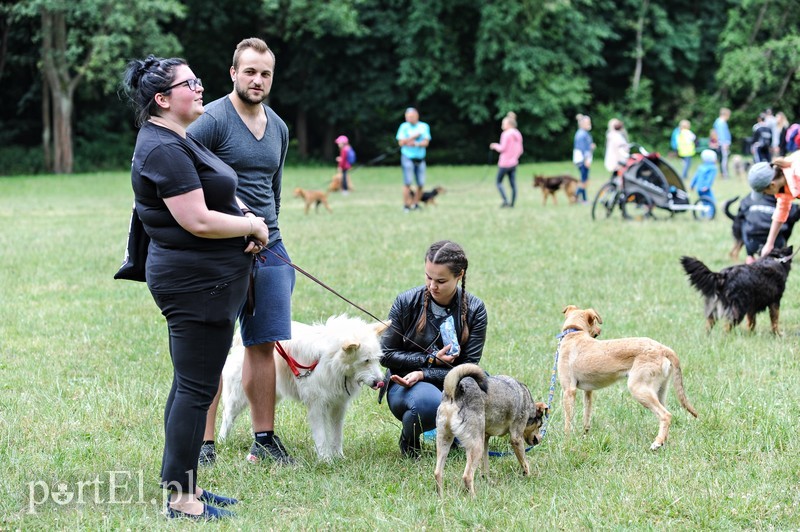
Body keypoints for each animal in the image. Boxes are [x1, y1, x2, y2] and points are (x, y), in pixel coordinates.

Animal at [217, 316, 390, 462]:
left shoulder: (338, 406)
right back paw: (221, 441)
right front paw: (326, 460)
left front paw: (339, 457)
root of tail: (240, 338)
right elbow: (321, 436)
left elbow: (336, 435)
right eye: (365, 361)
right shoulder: (317, 406)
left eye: (377, 359)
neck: (329, 359)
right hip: (240, 395)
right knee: (228, 415)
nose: (380, 383)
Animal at [432, 364, 552, 496]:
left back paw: (441, 497)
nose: (539, 440)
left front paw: (487, 480)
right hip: (475, 445)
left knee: (438, 473)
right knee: (467, 476)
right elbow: (524, 462)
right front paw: (529, 477)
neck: (529, 404)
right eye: (540, 425)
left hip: (444, 440)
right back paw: (474, 497)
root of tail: (455, 392)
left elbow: (485, 464)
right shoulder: (516, 438)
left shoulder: (485, 438)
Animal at [560, 306, 696, 450]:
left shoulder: (569, 390)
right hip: (659, 391)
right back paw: (663, 442)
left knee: (666, 415)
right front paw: (584, 436)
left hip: (638, 389)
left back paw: (657, 442)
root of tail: (662, 348)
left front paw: (566, 442)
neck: (574, 332)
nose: (600, 330)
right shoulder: (588, 392)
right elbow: (586, 416)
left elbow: (568, 421)